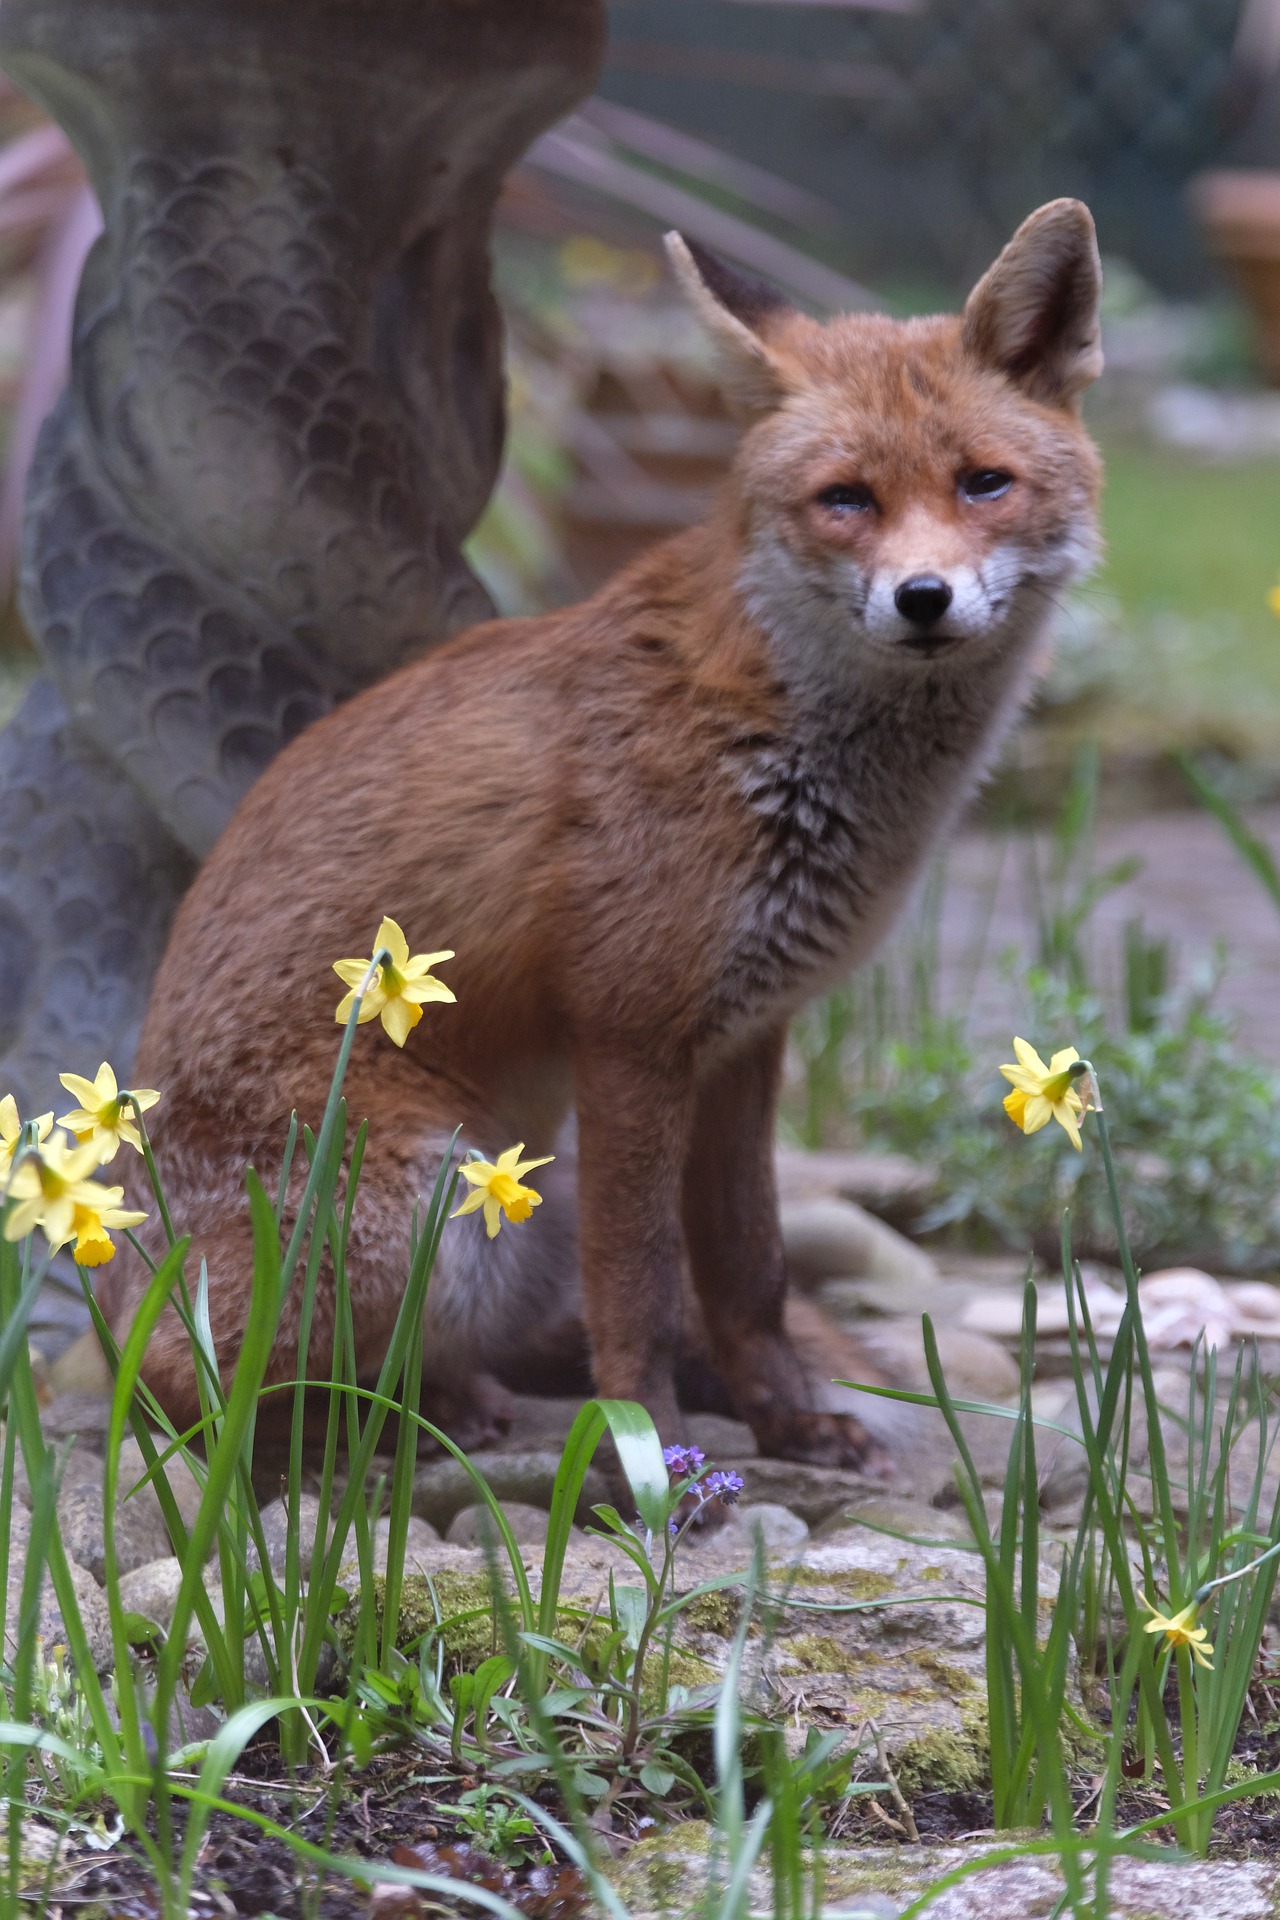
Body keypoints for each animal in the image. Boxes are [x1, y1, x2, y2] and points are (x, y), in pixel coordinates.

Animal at [97, 194, 1105, 1459]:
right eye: (845, 500)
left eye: (982, 483)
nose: (921, 599)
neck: (790, 747)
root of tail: (114, 1263)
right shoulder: (630, 1035)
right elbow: (641, 1286)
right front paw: (645, 1458)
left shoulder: (743, 1040)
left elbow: (749, 1269)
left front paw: (789, 1424)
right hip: (440, 1197)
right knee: (192, 1394)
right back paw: (375, 1431)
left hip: (512, 1206)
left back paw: (455, 1405)